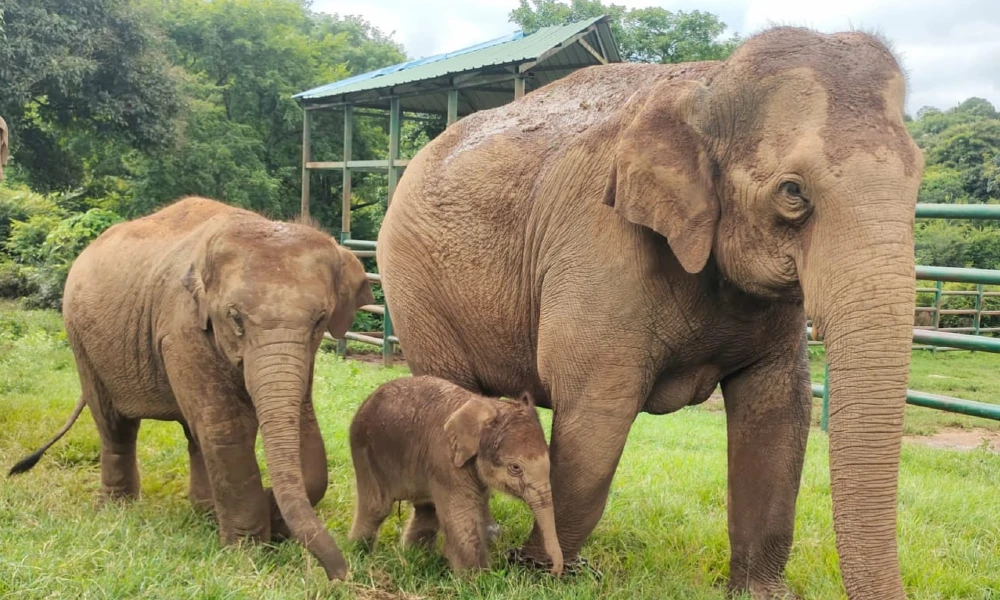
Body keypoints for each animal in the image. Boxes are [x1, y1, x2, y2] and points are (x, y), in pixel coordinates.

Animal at [348, 376, 564, 576]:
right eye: (515, 468)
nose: (553, 571)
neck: (488, 406)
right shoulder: (446, 460)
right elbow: (461, 515)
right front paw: (477, 580)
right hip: (364, 450)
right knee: (377, 507)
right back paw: (358, 552)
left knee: (426, 511)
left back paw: (414, 557)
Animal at [378, 27, 924, 600]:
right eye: (792, 192)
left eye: (920, 180)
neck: (711, 79)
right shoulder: (601, 242)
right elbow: (598, 411)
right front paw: (539, 573)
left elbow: (779, 412)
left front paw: (760, 593)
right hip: (414, 284)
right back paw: (429, 547)